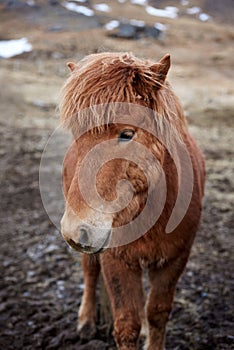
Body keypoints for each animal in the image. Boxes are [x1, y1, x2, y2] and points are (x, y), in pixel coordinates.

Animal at [59, 52, 205, 350]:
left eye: (127, 134)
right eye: (77, 134)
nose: (75, 229)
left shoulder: (175, 258)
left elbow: (157, 313)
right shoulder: (117, 258)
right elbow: (127, 322)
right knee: (90, 271)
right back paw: (87, 322)